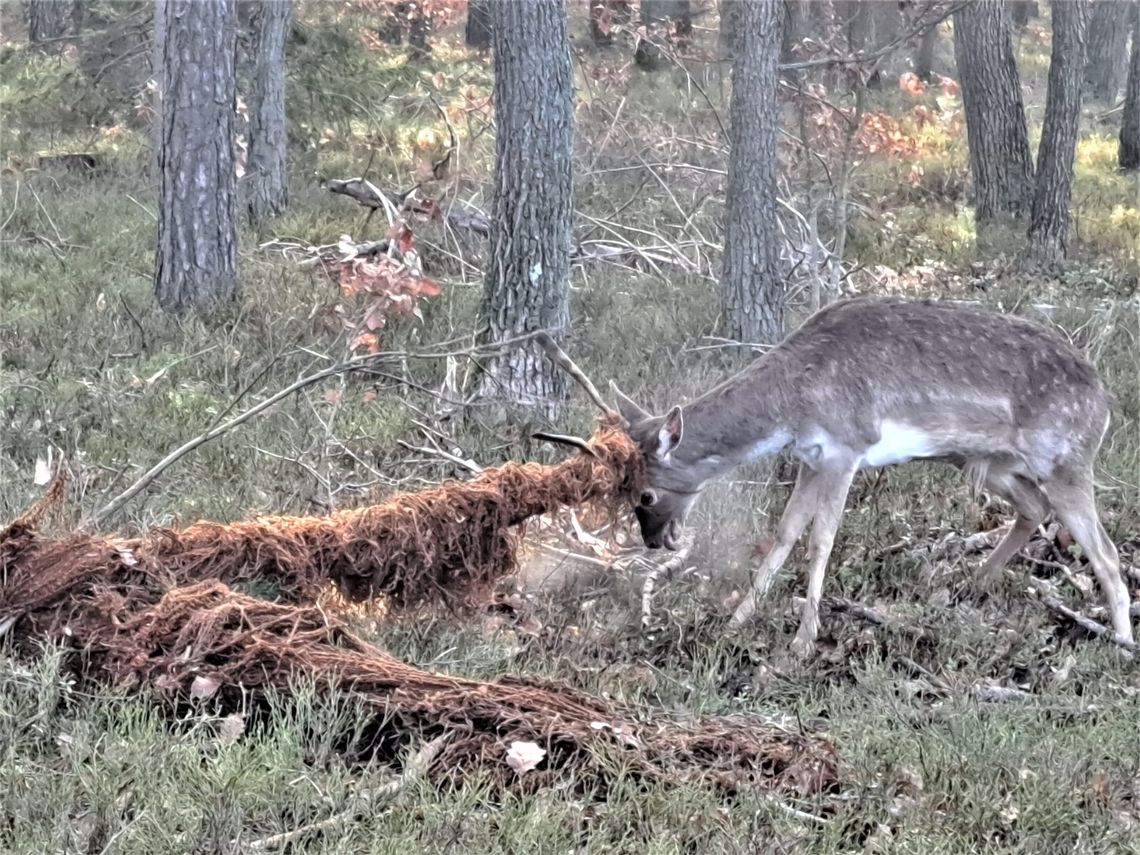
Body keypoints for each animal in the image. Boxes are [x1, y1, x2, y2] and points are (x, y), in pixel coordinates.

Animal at [606, 298, 1130, 661]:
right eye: (624, 487)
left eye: (646, 493)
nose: (653, 540)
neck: (792, 405)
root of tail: (1105, 401)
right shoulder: (812, 458)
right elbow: (785, 532)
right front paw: (738, 619)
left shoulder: (847, 447)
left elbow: (821, 541)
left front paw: (803, 641)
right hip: (984, 460)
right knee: (1034, 508)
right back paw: (968, 586)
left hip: (1065, 458)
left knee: (1106, 554)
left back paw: (1121, 643)